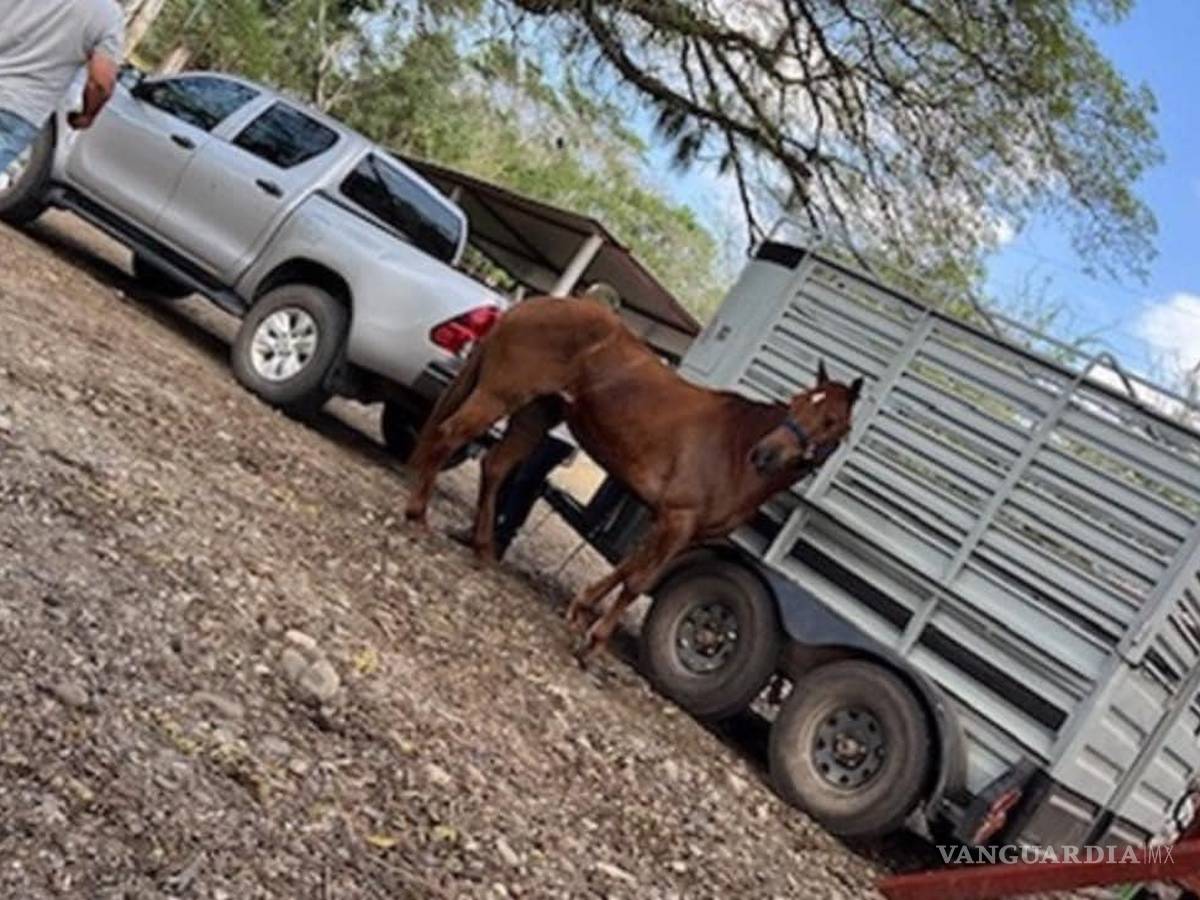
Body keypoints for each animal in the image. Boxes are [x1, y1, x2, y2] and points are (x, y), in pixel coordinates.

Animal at [404, 296, 862, 660]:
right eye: (797, 403)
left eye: (830, 420)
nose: (764, 455)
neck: (731, 448)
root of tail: (532, 304)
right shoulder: (677, 518)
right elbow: (639, 579)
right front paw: (593, 641)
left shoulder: (676, 527)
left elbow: (630, 568)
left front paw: (581, 609)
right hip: (499, 397)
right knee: (447, 437)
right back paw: (417, 516)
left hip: (535, 415)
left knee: (495, 467)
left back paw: (481, 548)